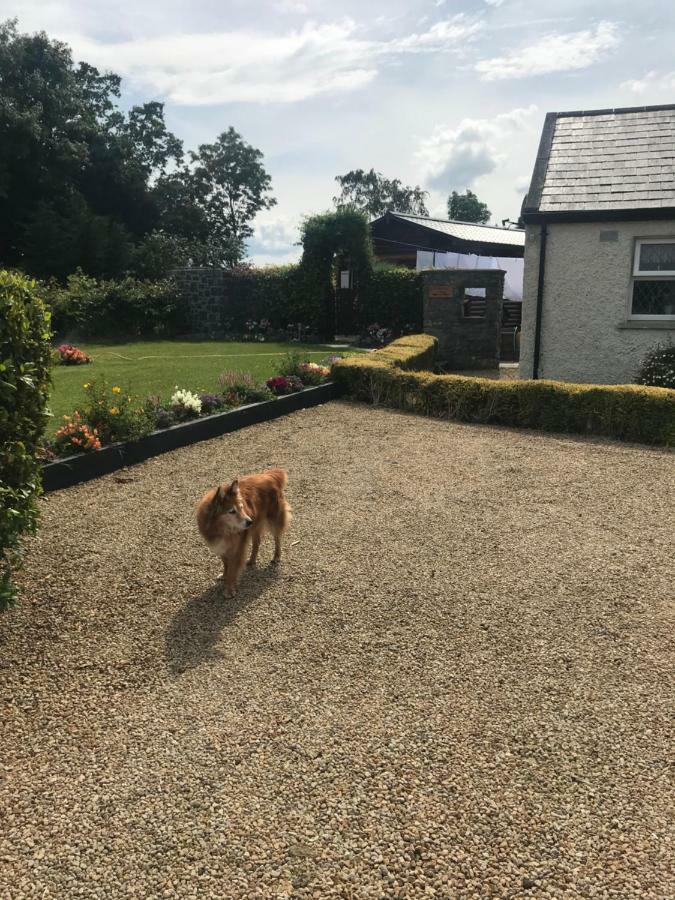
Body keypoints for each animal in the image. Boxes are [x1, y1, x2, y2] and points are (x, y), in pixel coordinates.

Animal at [195, 468, 290, 596]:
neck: (222, 529)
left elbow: (232, 570)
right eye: (232, 511)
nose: (249, 521)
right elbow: (226, 564)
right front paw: (224, 575)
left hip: (273, 519)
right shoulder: (222, 546)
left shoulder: (237, 549)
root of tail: (268, 475)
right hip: (256, 524)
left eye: (241, 507)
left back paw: (276, 556)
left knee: (277, 538)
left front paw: (230, 589)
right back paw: (252, 560)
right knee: (257, 542)